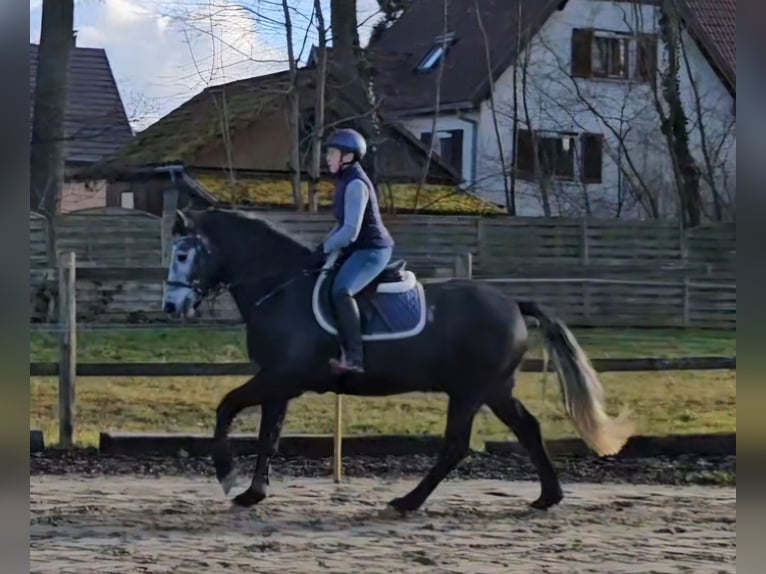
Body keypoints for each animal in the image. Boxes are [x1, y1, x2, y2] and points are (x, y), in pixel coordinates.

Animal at [163, 207, 634, 514]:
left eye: (183, 255)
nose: (171, 306)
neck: (281, 288)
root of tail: (513, 304)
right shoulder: (278, 381)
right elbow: (267, 436)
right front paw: (252, 493)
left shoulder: (282, 377)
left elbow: (226, 407)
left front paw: (227, 475)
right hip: (495, 390)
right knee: (528, 429)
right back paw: (547, 497)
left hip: (470, 391)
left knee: (455, 446)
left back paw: (407, 502)